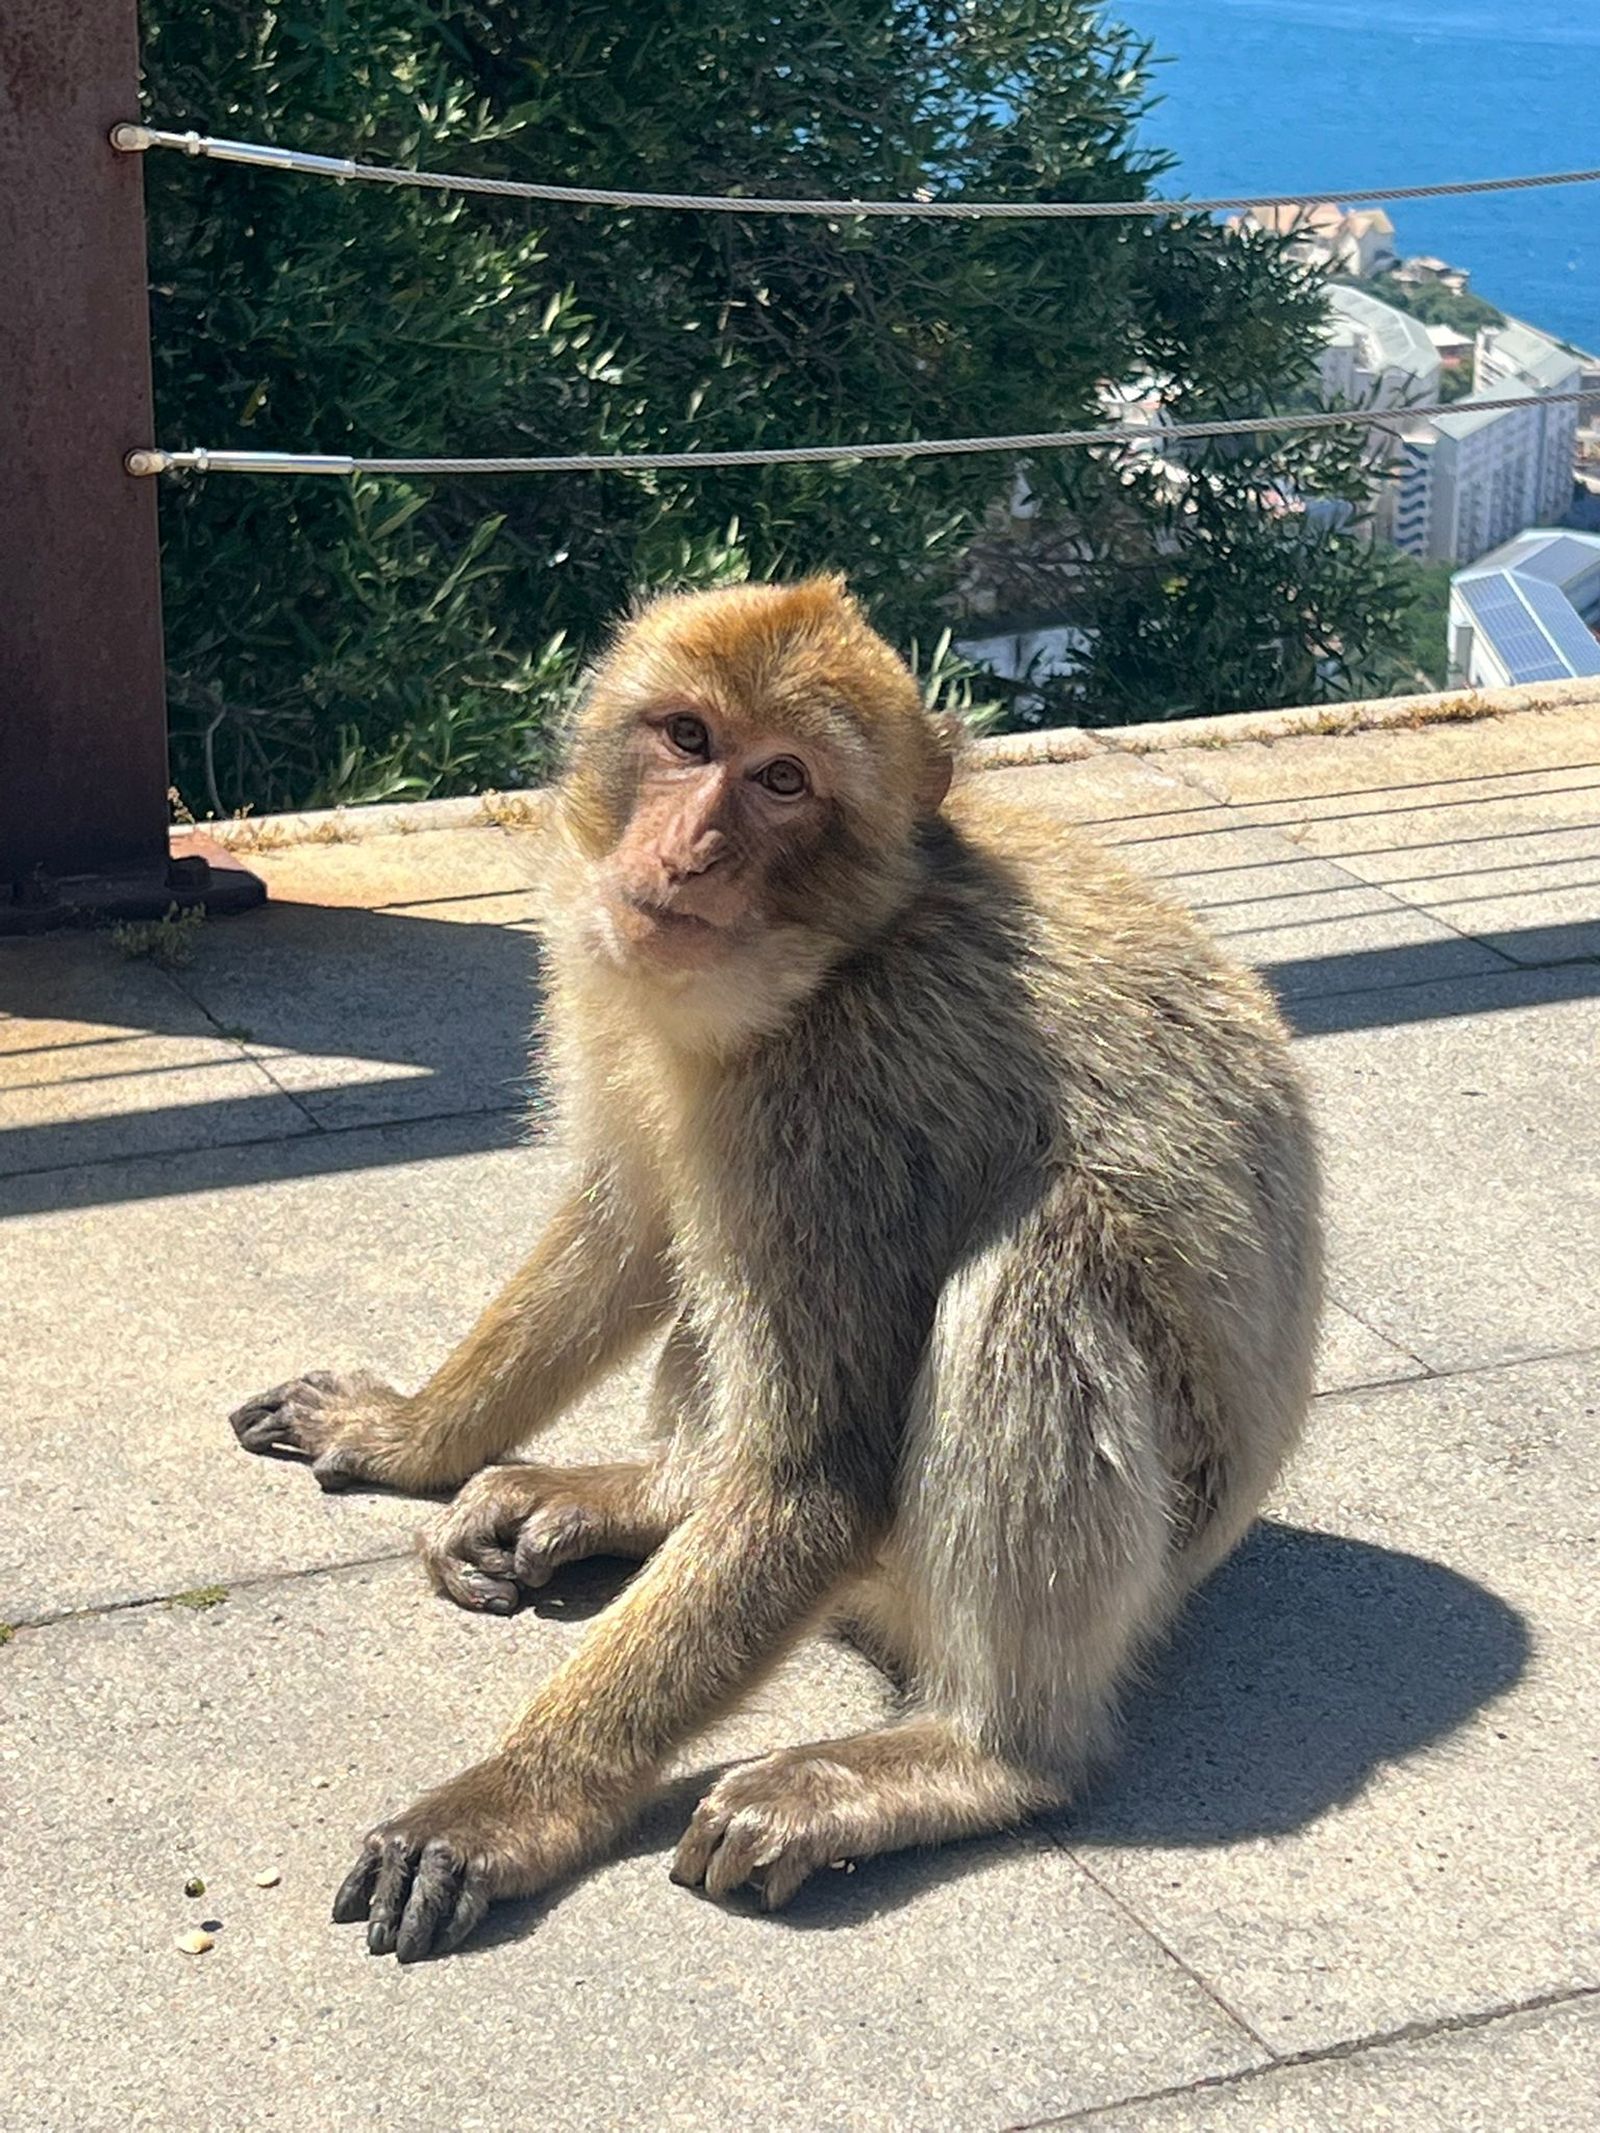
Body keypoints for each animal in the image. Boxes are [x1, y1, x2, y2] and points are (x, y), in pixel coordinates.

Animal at [230, 576, 1321, 1963]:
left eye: (784, 781)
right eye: (689, 738)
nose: (688, 848)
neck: (825, 959)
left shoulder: (831, 1102)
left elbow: (814, 1477)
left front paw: (510, 1802)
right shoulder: (616, 981)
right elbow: (631, 1225)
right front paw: (413, 1434)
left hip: (1123, 1543)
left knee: (1037, 1261)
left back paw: (984, 1755)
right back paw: (647, 1496)